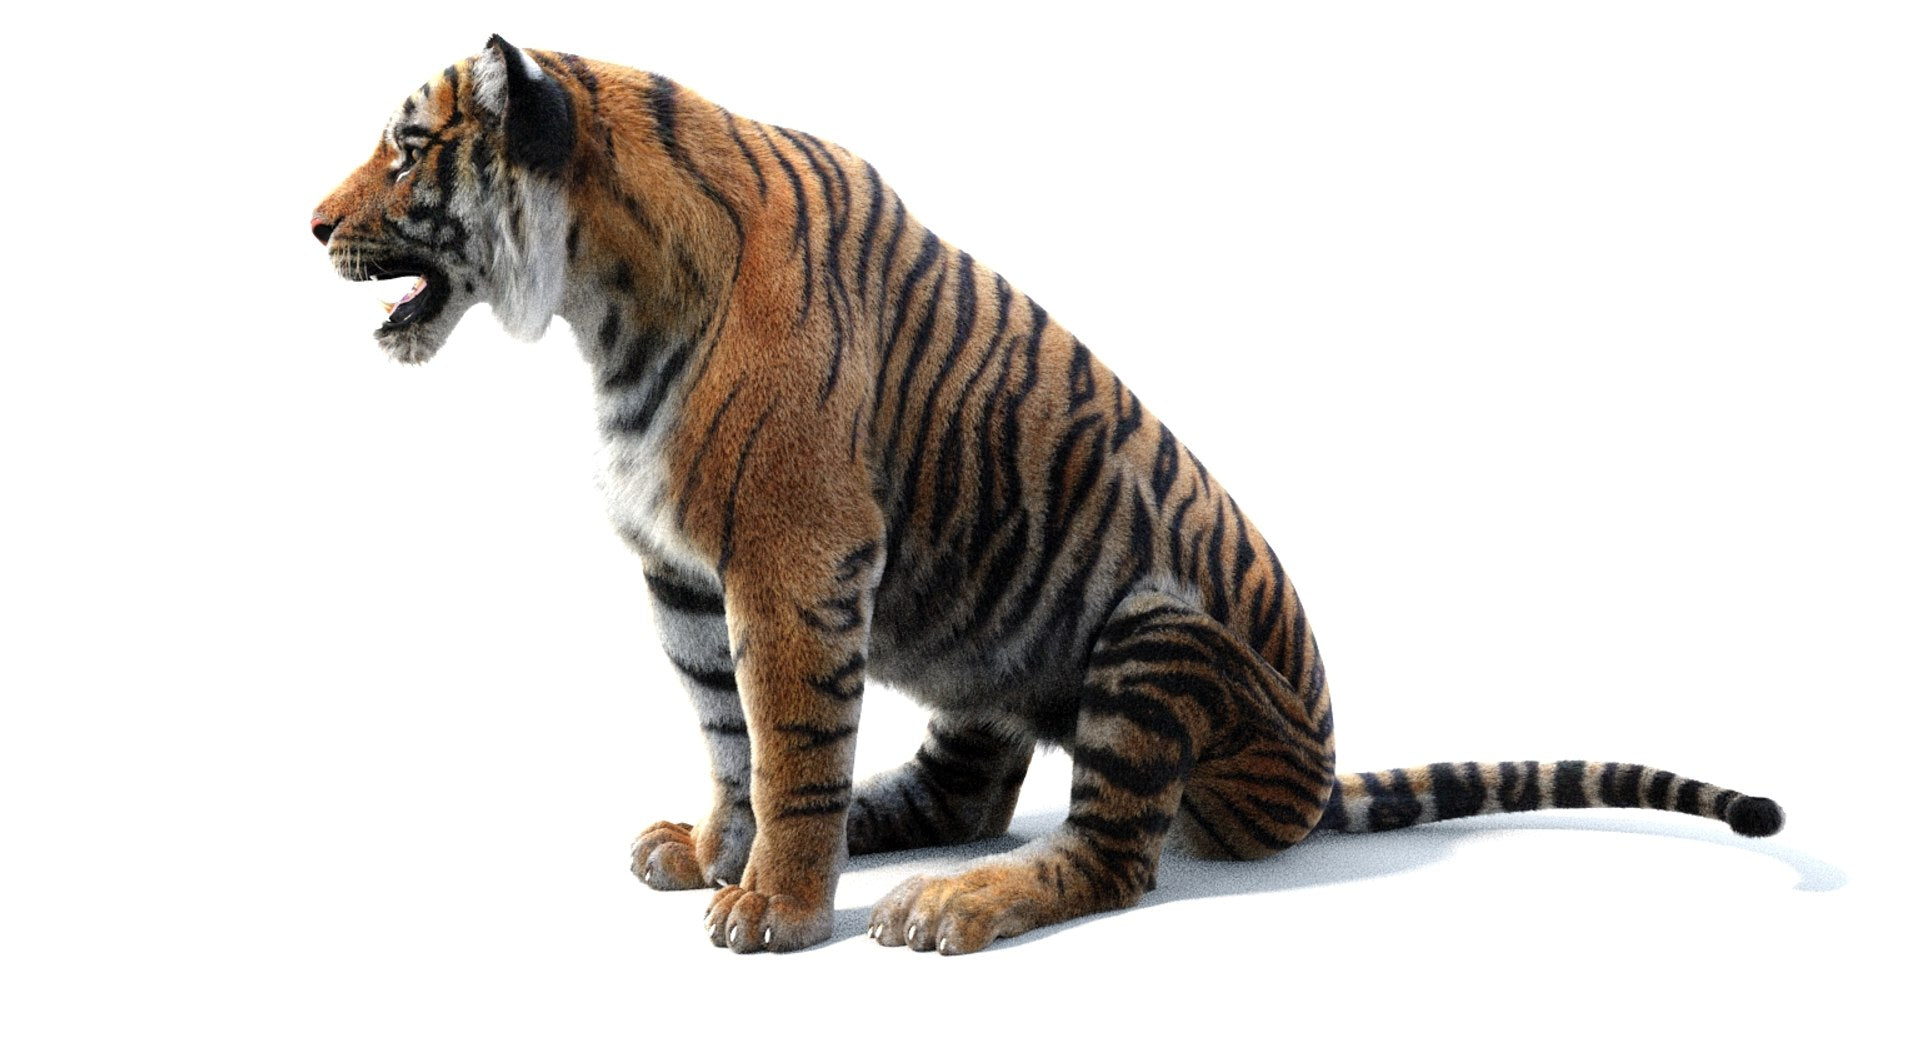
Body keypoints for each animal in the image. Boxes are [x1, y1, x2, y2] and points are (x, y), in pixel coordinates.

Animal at [311, 36, 1783, 955]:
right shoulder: (681, 574)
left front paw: (776, 906)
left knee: (1110, 858)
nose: (311, 224)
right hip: (981, 647)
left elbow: (787, 738)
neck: (598, 307)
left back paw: (945, 906)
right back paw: (888, 846)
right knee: (966, 788)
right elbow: (730, 736)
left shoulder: (792, 562)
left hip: (1155, 631)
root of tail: (1317, 769)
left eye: (407, 153)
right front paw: (718, 848)